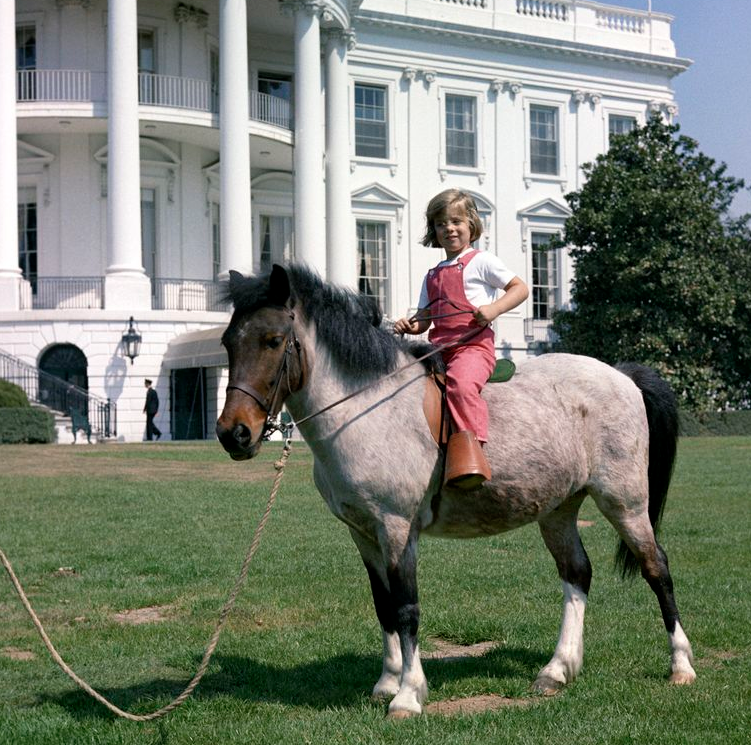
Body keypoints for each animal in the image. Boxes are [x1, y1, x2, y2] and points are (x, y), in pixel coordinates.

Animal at [214, 264, 696, 716]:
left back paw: (681, 665)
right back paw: (557, 670)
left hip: (625, 501)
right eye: (227, 342)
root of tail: (621, 375)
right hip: (558, 509)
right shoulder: (363, 532)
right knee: (577, 573)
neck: (367, 407)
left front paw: (407, 695)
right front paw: (387, 682)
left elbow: (406, 608)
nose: (233, 434)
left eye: (273, 340)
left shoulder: (396, 529)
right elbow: (383, 605)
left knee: (657, 568)